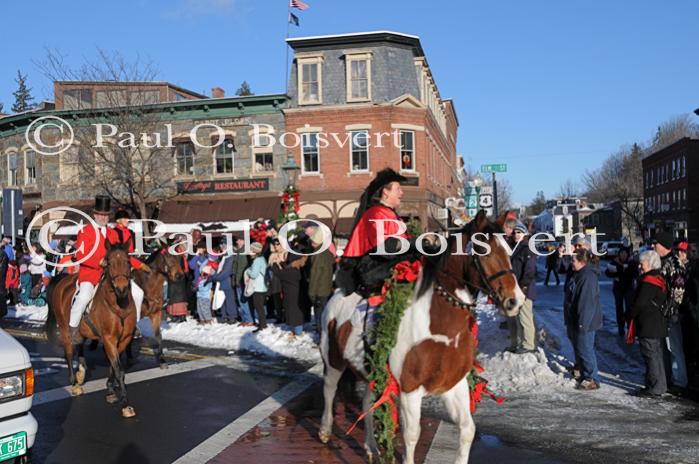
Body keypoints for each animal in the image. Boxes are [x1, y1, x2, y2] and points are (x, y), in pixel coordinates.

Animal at [46, 237, 139, 418]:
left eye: (127, 261)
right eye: (109, 262)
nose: (122, 289)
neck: (119, 304)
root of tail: (63, 280)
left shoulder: (123, 339)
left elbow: (113, 366)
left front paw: (110, 390)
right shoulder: (109, 339)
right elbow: (119, 369)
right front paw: (125, 404)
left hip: (82, 331)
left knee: (80, 345)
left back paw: (81, 372)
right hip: (65, 328)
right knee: (69, 353)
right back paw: (74, 383)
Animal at [320, 211, 524, 464]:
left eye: (509, 250)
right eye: (484, 251)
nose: (515, 301)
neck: (440, 329)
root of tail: (337, 292)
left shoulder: (453, 385)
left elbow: (467, 430)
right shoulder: (410, 389)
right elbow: (411, 435)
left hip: (371, 370)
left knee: (367, 401)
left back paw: (371, 447)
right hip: (333, 359)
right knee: (329, 389)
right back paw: (325, 430)